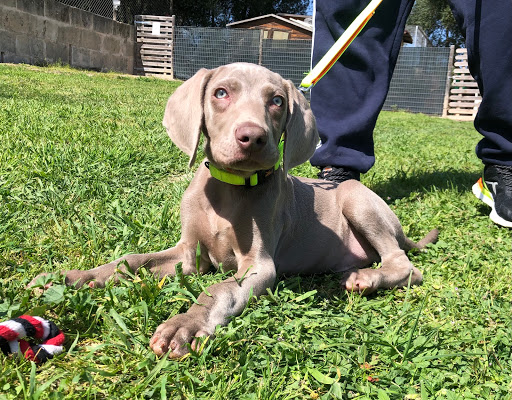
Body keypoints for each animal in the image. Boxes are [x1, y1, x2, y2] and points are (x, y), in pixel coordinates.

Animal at [29, 63, 436, 360]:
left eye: (277, 101)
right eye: (221, 93)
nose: (253, 137)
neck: (229, 189)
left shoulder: (259, 264)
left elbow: (219, 289)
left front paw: (185, 324)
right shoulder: (188, 254)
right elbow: (131, 260)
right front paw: (75, 278)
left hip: (356, 199)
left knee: (404, 265)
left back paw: (367, 278)